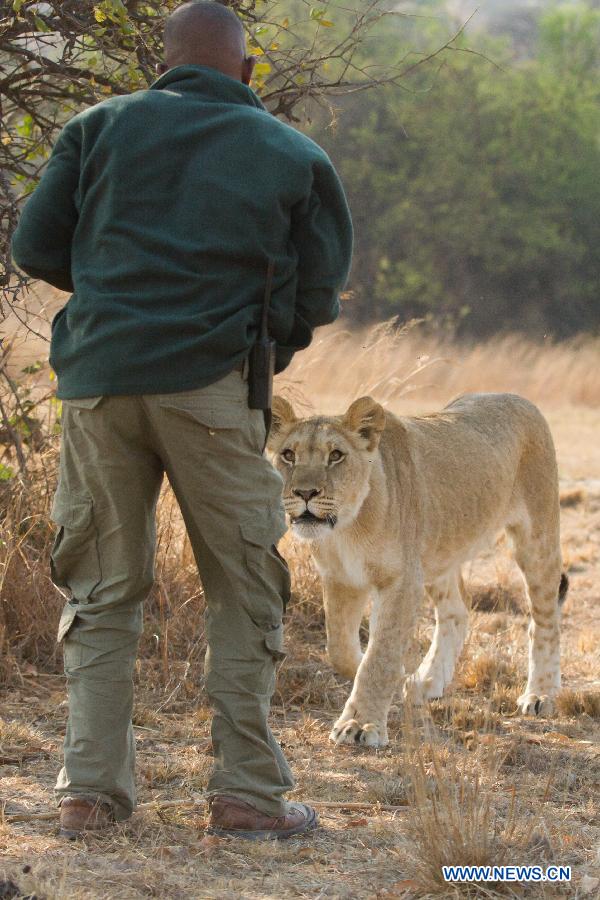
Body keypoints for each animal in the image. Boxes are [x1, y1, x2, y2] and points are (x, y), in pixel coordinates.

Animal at [268, 390, 568, 748]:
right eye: (288, 455)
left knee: (544, 619)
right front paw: (393, 678)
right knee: (457, 611)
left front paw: (360, 724)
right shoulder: (342, 579)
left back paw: (541, 695)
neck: (346, 529)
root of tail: (514, 396)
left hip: (537, 537)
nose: (304, 493)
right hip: (437, 555)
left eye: (336, 455)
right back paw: (426, 682)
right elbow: (341, 649)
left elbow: (380, 656)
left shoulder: (402, 581)